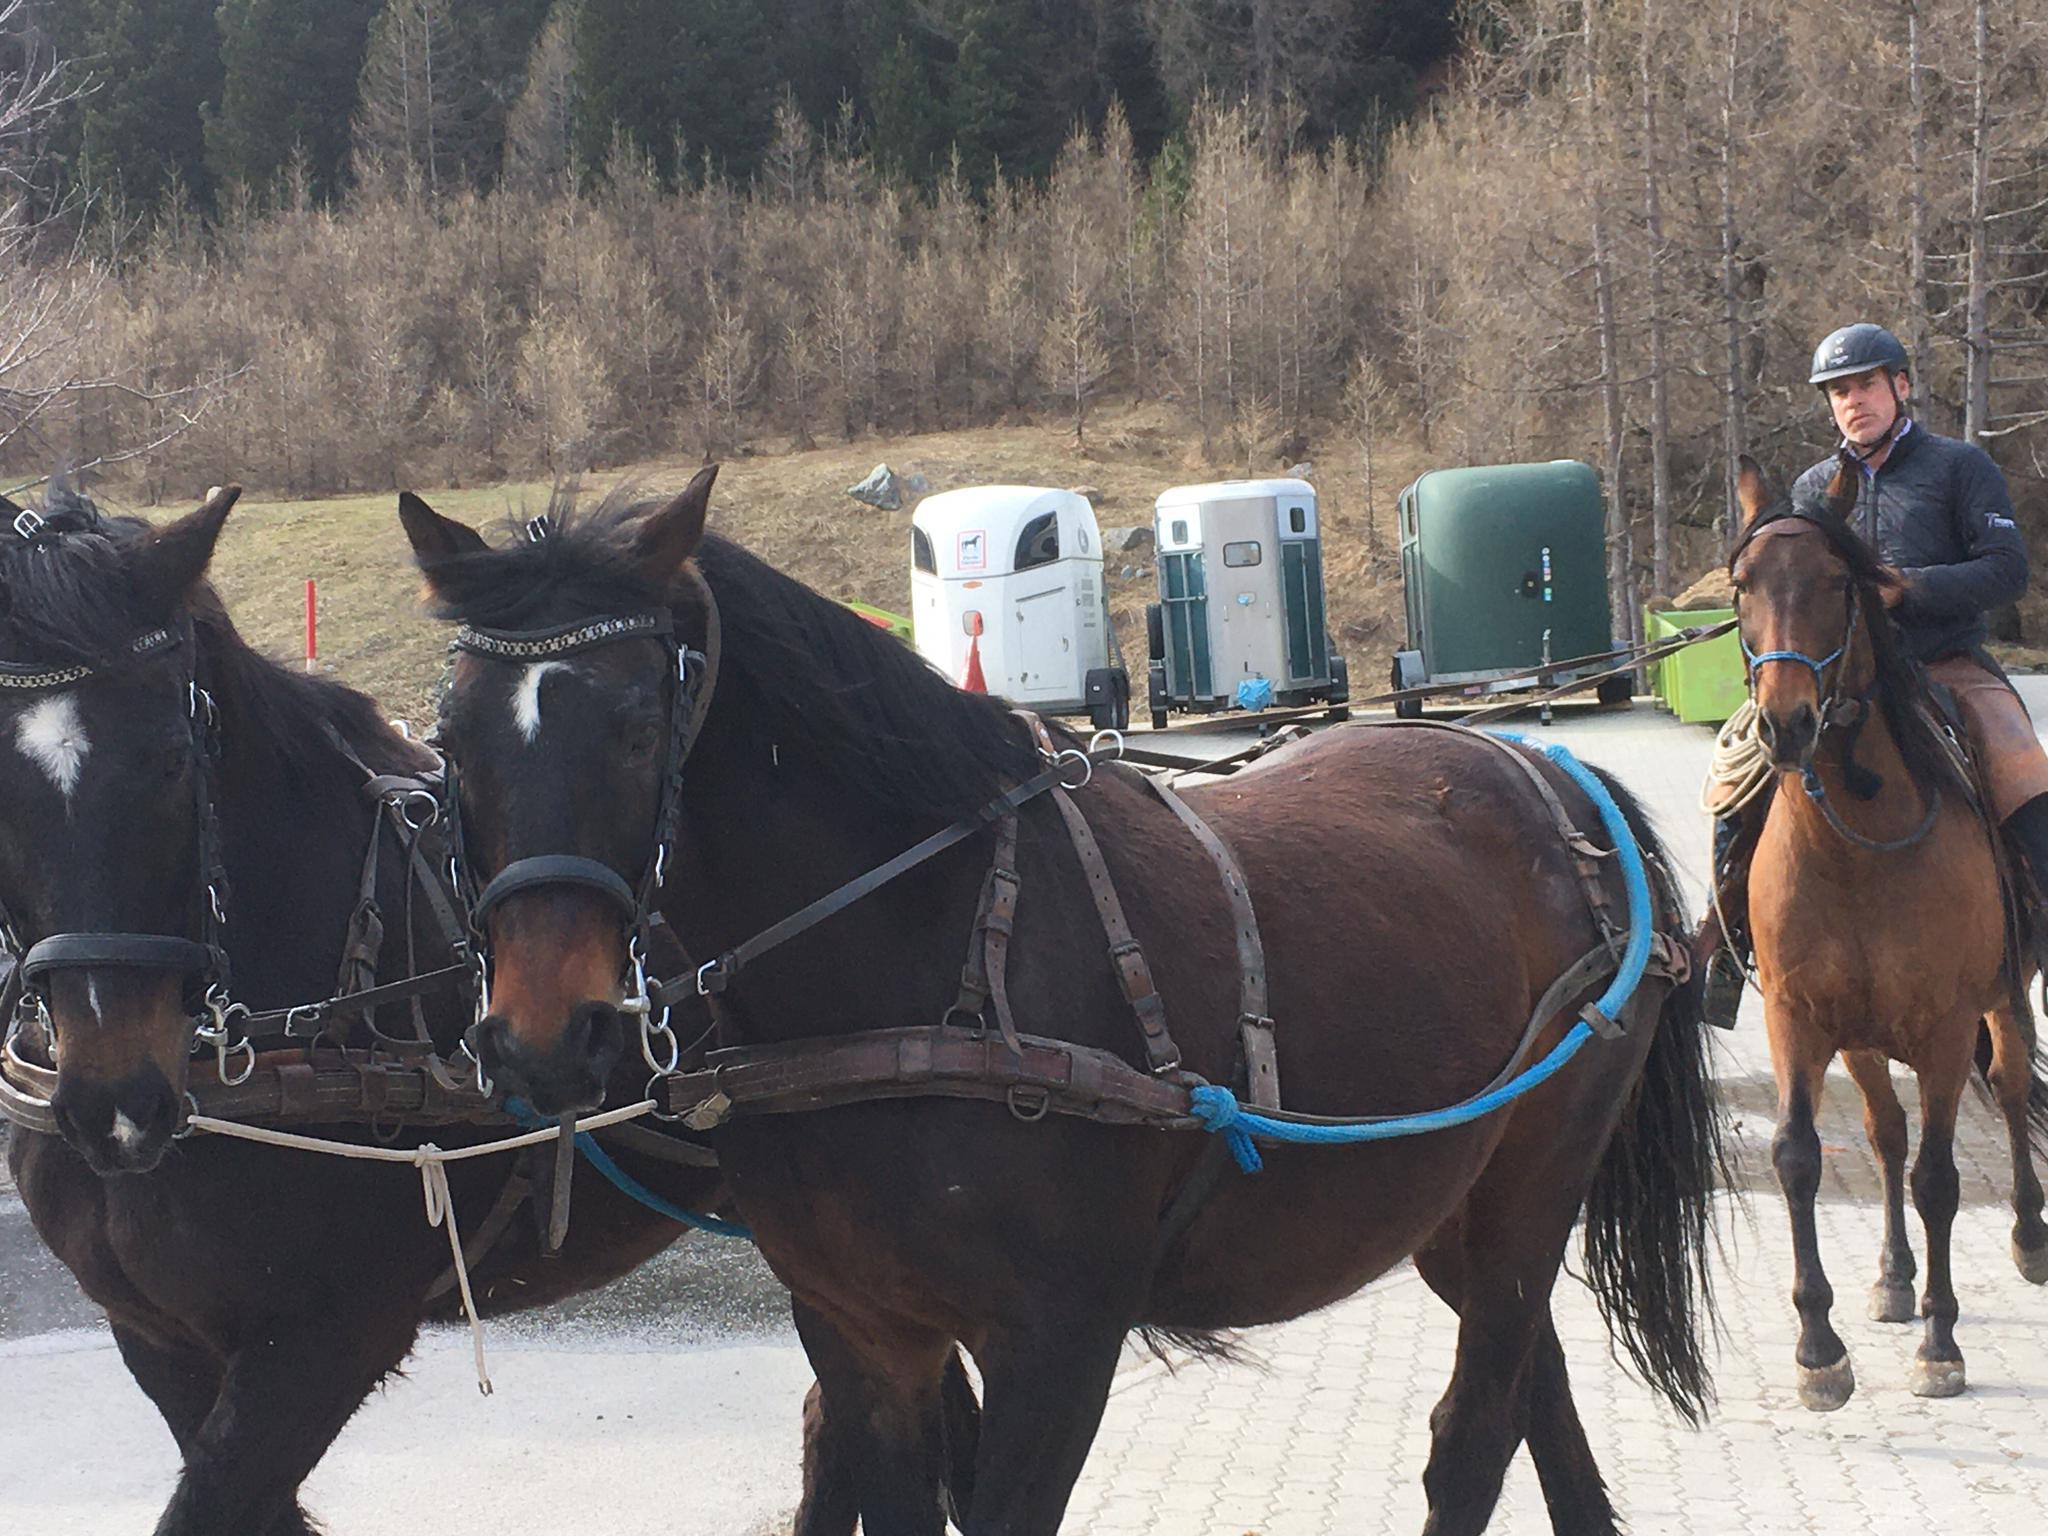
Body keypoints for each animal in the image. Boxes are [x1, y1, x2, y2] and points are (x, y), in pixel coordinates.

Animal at [403, 473, 1728, 1536]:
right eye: (450, 740)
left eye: (636, 728)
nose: (542, 1033)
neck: (919, 959)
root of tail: (1544, 768)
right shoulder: (861, 1331)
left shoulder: (1058, 1342)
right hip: (1441, 1204)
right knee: (1534, 1404)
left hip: (1529, 1189)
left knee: (1472, 1439)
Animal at [1728, 460, 2048, 1417]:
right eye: (1742, 586)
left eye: (1838, 584)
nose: (1787, 723)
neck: (1854, 848)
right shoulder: (1798, 1020)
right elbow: (1802, 1158)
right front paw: (1818, 1348)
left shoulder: (1945, 1027)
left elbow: (1940, 1178)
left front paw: (1942, 1346)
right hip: (1863, 1040)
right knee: (1885, 1134)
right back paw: (1894, 1276)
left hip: (2002, 999)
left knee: (2007, 1092)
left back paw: (2028, 1233)